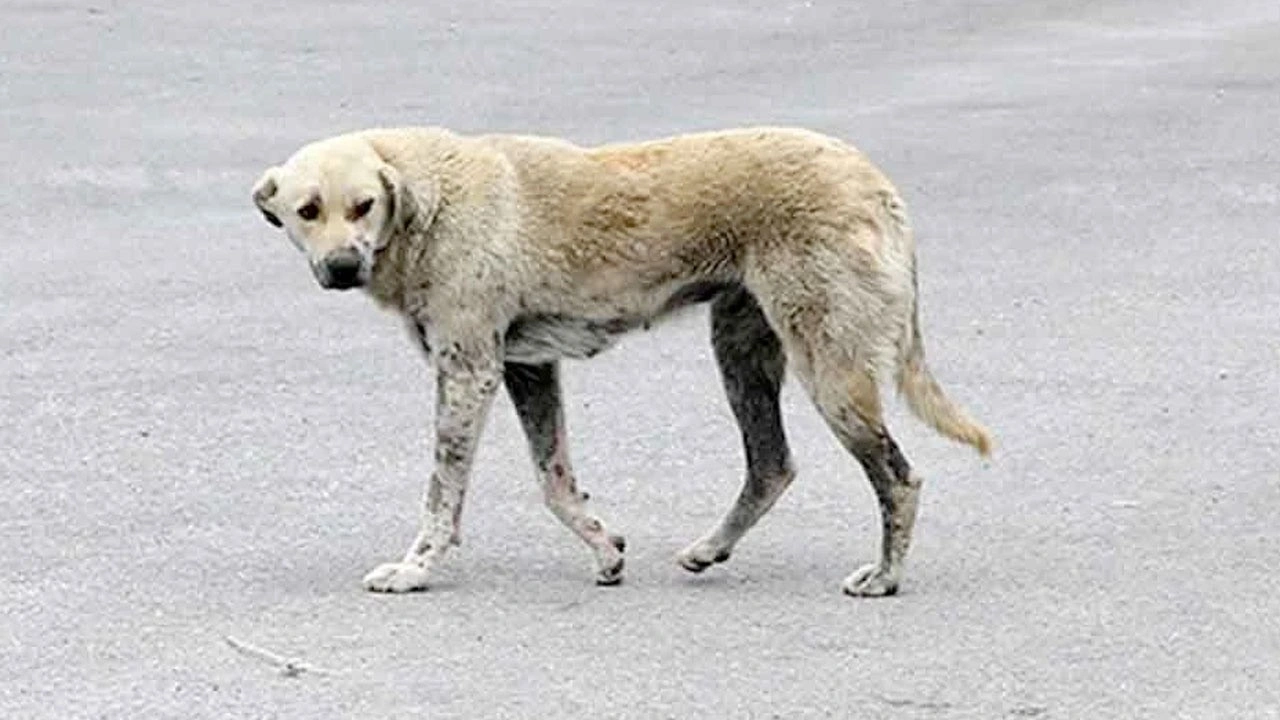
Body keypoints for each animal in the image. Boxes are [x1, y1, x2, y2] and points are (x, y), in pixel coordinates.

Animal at [249, 124, 988, 594]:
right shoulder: (525, 369)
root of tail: (876, 181)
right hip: (741, 353)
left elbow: (442, 495)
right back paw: (711, 548)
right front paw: (605, 549)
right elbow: (554, 481)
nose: (342, 267)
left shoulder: (468, 373)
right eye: (307, 211)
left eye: (363, 206)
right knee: (772, 465)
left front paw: (416, 569)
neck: (428, 201)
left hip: (830, 370)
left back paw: (886, 576)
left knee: (898, 479)